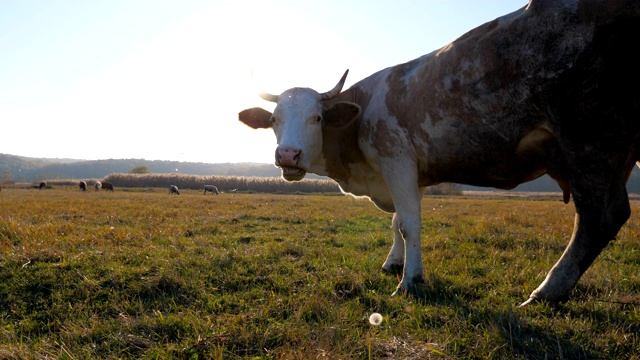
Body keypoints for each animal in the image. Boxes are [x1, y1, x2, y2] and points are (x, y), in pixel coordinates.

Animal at [238, 0, 640, 306]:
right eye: (273, 120)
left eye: (317, 117)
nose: (288, 155)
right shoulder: (408, 175)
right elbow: (397, 222)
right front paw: (394, 264)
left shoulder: (397, 161)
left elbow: (409, 224)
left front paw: (410, 280)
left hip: (589, 138)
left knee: (599, 216)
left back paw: (546, 292)